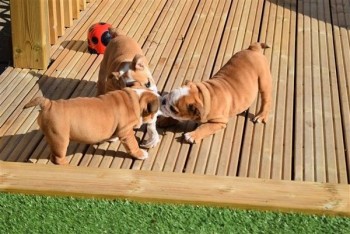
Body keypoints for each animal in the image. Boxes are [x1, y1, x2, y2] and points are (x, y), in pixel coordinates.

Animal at [23, 88, 161, 165]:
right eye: (156, 111)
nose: (158, 116)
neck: (136, 100)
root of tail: (48, 104)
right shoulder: (126, 131)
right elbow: (133, 144)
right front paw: (140, 153)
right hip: (60, 139)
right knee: (57, 157)